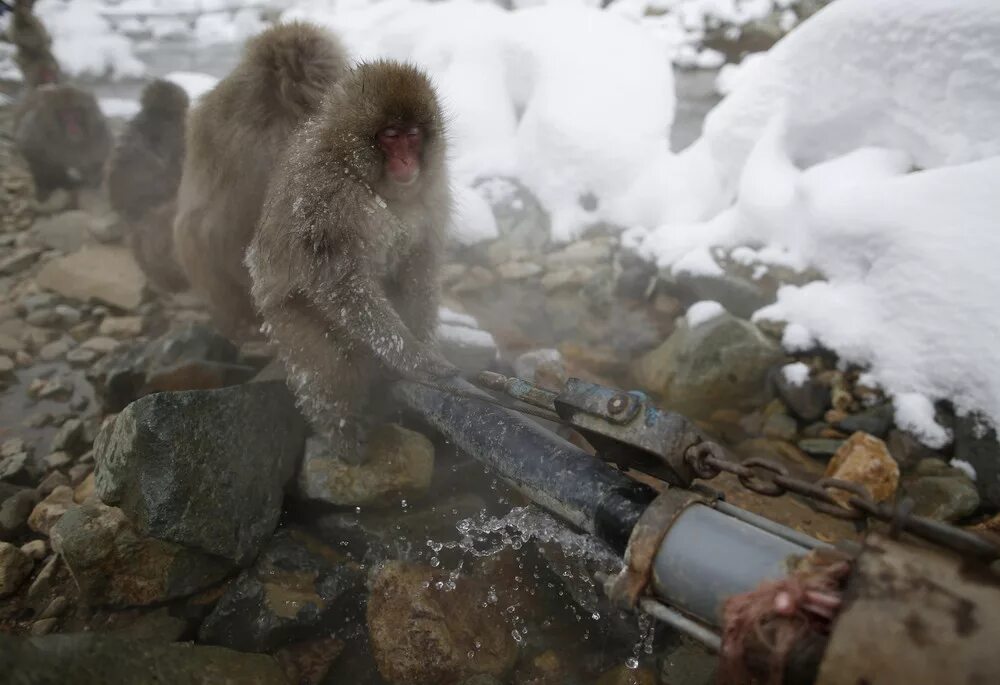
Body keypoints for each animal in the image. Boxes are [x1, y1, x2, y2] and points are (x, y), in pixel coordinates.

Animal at [246, 60, 458, 464]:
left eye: (412, 135)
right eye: (390, 136)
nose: (406, 160)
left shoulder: (434, 191)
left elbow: (419, 265)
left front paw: (424, 342)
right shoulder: (326, 195)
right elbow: (340, 283)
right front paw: (411, 357)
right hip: (288, 318)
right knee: (326, 373)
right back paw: (341, 435)